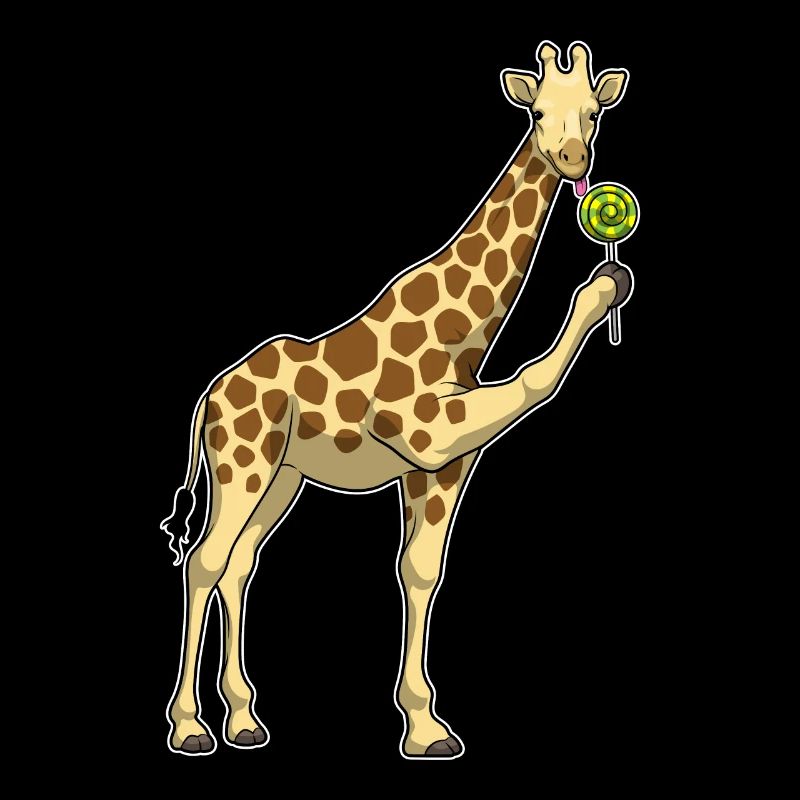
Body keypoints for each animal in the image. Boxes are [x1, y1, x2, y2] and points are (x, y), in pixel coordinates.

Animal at [162, 41, 632, 758]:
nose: (576, 160)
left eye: (594, 112)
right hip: (240, 464)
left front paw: (425, 727)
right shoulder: (430, 433)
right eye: (537, 111)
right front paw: (604, 287)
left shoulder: (439, 466)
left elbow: (420, 572)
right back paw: (189, 728)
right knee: (203, 562)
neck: (464, 334)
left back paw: (243, 721)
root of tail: (208, 398)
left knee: (240, 564)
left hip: (281, 476)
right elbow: (535, 377)